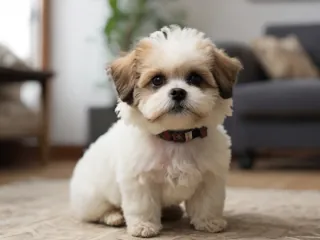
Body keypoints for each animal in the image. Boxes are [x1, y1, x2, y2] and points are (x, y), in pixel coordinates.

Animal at [69, 25, 241, 237]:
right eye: (157, 80)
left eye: (195, 78)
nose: (178, 92)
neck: (176, 137)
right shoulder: (140, 181)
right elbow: (142, 206)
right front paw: (143, 226)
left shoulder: (210, 177)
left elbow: (208, 202)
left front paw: (209, 222)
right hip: (93, 199)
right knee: (98, 212)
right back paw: (113, 216)